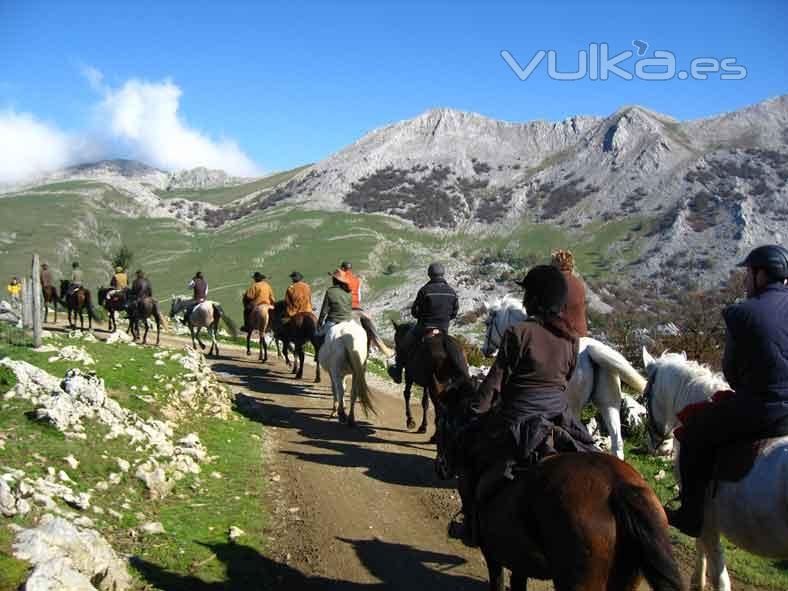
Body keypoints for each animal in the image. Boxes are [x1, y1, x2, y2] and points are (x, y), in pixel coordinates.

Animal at [480, 298, 648, 460]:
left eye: (487, 323)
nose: (485, 351)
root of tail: (591, 351)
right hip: (609, 405)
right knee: (616, 441)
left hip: (575, 409)